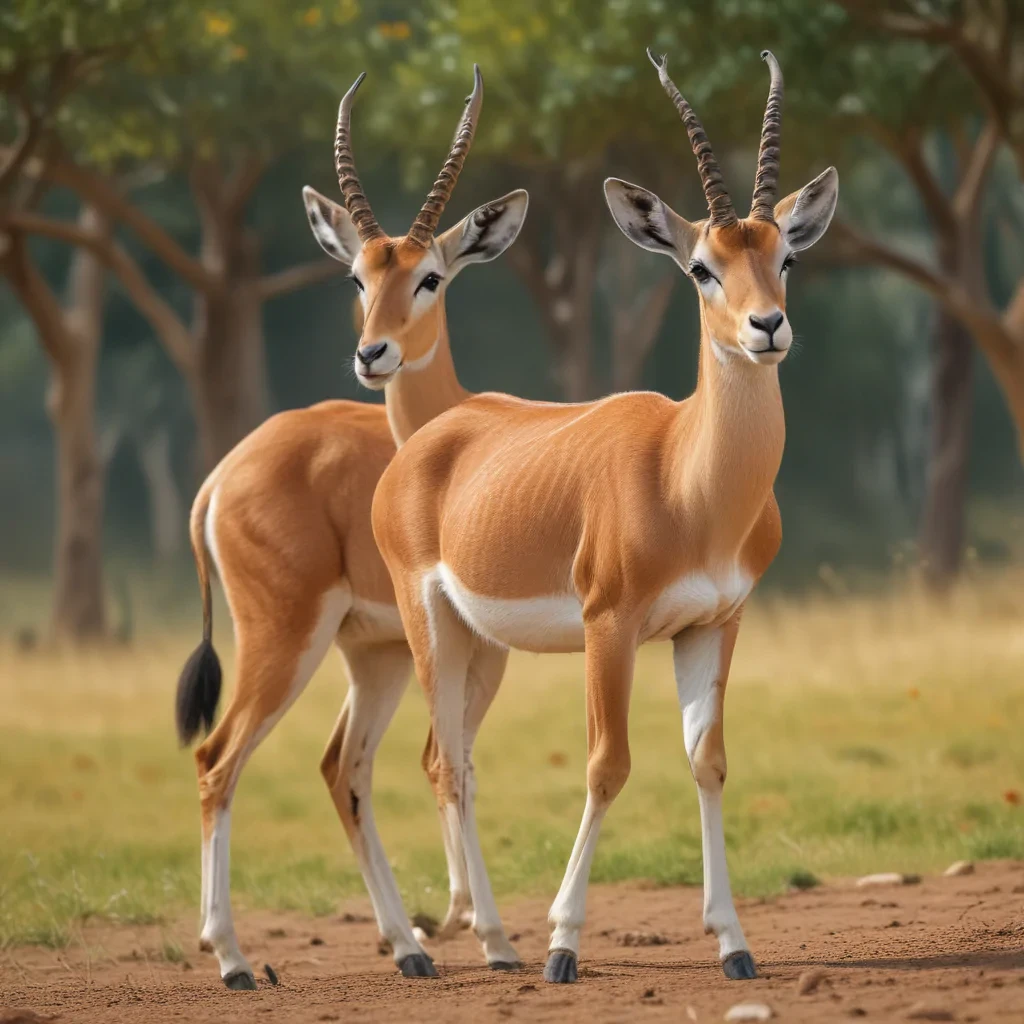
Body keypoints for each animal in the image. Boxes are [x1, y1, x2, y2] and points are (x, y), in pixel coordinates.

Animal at [174, 66, 529, 989]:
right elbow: (453, 763)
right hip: (287, 639)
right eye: (358, 279)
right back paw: (233, 958)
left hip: (370, 657)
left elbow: (449, 761)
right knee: (217, 760)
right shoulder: (476, 645)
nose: (374, 354)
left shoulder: (464, 646)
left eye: (429, 276)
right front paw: (492, 933)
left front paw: (464, 923)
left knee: (344, 768)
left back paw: (406, 947)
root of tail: (222, 475)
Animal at [370, 50, 839, 984]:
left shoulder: (714, 625)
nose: (767, 327)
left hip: (478, 643)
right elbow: (606, 765)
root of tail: (422, 442)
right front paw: (563, 943)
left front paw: (734, 945)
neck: (689, 481)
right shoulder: (608, 624)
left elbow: (709, 762)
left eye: (786, 259)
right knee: (446, 765)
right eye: (701, 266)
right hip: (426, 623)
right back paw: (487, 945)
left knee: (453, 758)